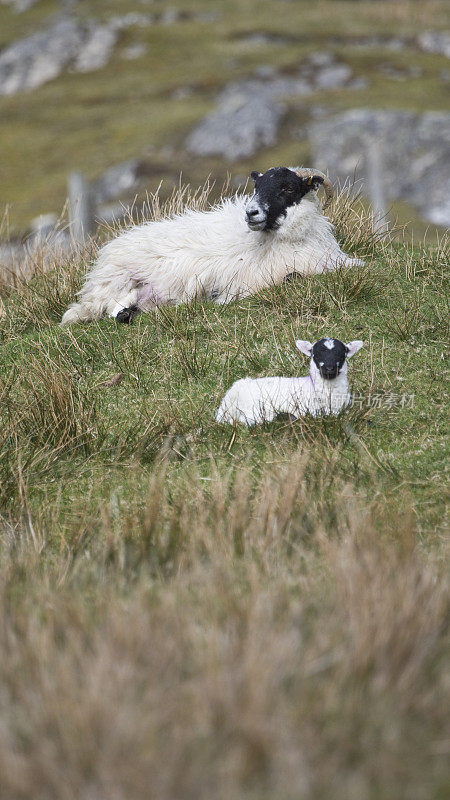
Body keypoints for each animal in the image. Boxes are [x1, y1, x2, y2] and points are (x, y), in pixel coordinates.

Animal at [60, 164, 362, 326]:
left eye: (288, 188)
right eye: (257, 187)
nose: (250, 212)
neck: (286, 240)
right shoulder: (250, 280)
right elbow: (292, 277)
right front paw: (219, 298)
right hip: (118, 279)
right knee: (108, 307)